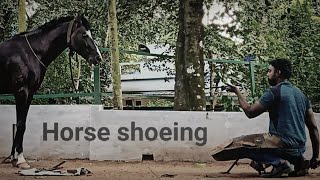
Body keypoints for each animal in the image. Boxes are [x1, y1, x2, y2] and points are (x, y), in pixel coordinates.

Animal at [0, 14, 102, 168]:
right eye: (84, 34)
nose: (98, 57)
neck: (30, 53)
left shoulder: (30, 94)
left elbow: (20, 123)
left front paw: (14, 157)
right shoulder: (21, 91)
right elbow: (21, 124)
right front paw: (21, 160)